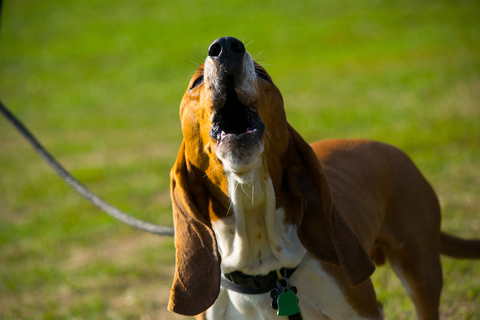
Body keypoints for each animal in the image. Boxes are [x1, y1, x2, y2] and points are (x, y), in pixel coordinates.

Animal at [166, 37, 480, 320]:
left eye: (263, 75)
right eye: (196, 83)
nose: (227, 46)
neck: (267, 268)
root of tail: (392, 149)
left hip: (421, 269)